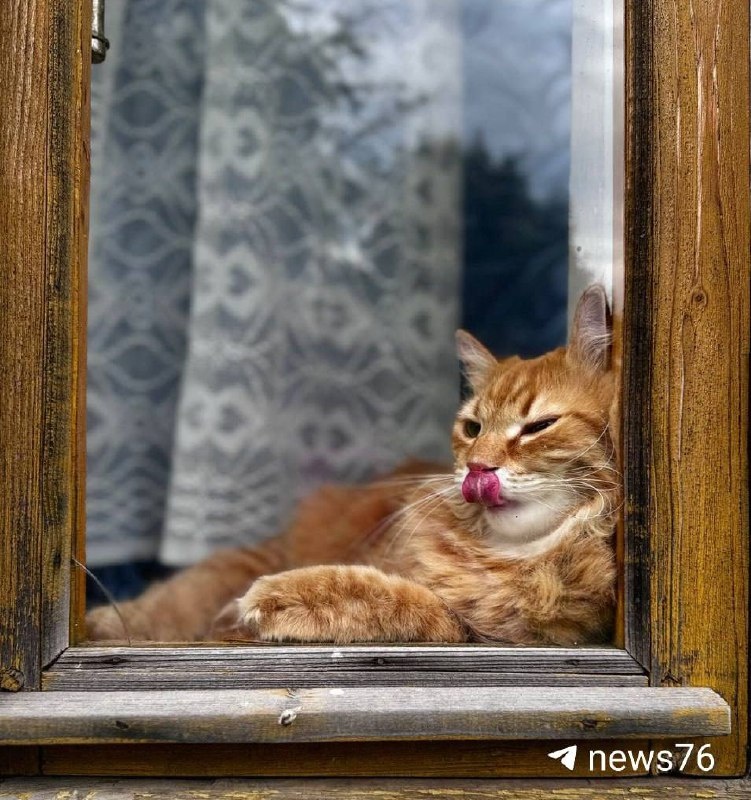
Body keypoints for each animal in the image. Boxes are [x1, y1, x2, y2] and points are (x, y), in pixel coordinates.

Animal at [86, 285, 620, 646]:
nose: (477, 468)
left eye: (538, 426)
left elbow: (398, 601)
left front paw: (275, 600)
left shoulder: (495, 634)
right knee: (166, 603)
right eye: (473, 428)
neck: (510, 556)